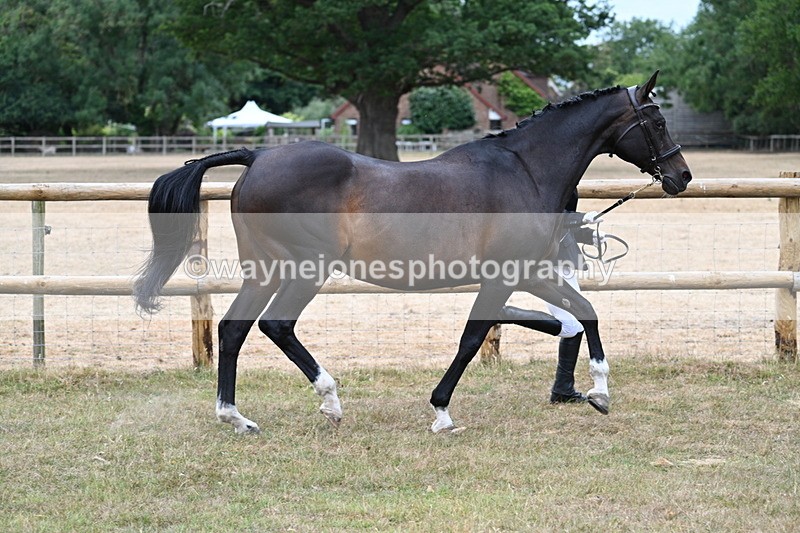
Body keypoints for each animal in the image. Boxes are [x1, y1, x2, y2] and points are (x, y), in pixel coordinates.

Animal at [134, 71, 692, 434]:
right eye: (656, 121)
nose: (681, 175)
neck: (525, 170)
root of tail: (257, 156)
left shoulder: (529, 272)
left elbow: (583, 312)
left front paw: (598, 391)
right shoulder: (505, 275)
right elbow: (473, 337)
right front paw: (442, 411)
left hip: (265, 270)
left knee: (234, 329)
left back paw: (235, 416)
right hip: (304, 269)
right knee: (276, 325)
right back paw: (330, 402)